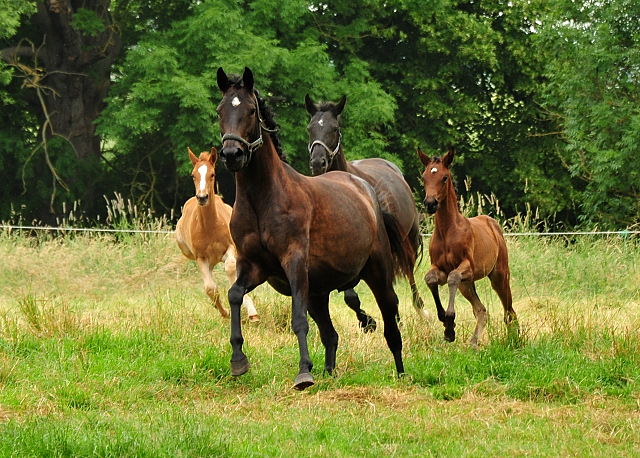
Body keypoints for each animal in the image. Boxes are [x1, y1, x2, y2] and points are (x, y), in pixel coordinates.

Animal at [176, 147, 258, 322]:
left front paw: (251, 311)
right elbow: (210, 288)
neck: (210, 227)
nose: (202, 197)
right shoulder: (200, 258)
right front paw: (225, 312)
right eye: (193, 175)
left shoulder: (231, 248)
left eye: (212, 174)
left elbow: (231, 268)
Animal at [306, 94, 428, 326]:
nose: (318, 162)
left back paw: (421, 310)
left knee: (409, 271)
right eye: (310, 128)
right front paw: (366, 320)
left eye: (334, 128)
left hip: (409, 237)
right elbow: (350, 295)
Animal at [418, 148, 516, 348]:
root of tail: (493, 224)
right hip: (467, 285)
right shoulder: (439, 268)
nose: (430, 203)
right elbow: (431, 278)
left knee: (509, 311)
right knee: (482, 310)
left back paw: (513, 339)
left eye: (444, 177)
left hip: (499, 276)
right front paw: (446, 323)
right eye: (424, 177)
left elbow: (453, 277)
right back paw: (473, 343)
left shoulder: (467, 267)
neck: (447, 231)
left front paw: (449, 323)